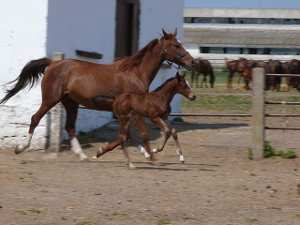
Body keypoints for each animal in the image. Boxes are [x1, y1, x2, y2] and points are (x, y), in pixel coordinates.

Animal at [0, 29, 195, 161]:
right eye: (176, 45)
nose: (191, 61)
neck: (135, 73)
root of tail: (52, 63)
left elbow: (129, 134)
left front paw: (145, 152)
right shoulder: (136, 111)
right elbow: (136, 133)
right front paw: (147, 153)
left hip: (70, 103)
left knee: (69, 127)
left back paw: (82, 155)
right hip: (50, 99)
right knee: (35, 118)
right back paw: (21, 147)